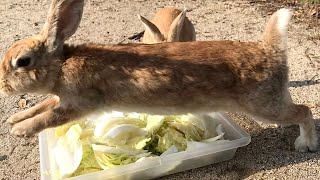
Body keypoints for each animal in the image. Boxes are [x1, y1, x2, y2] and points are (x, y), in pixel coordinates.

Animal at [0, 0, 316, 153]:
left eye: (22, 61)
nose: (3, 87)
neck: (62, 64)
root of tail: (271, 50)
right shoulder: (62, 98)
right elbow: (43, 105)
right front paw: (14, 120)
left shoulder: (80, 103)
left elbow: (49, 117)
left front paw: (21, 130)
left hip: (263, 105)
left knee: (304, 111)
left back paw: (306, 145)